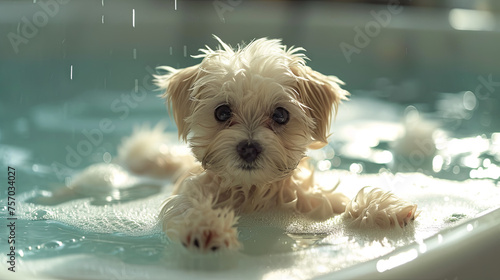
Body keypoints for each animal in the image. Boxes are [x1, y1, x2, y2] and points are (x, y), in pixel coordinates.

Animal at [121, 36, 418, 253]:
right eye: (222, 112)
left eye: (280, 115)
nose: (248, 147)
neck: (254, 194)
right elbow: (186, 210)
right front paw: (205, 225)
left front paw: (381, 210)